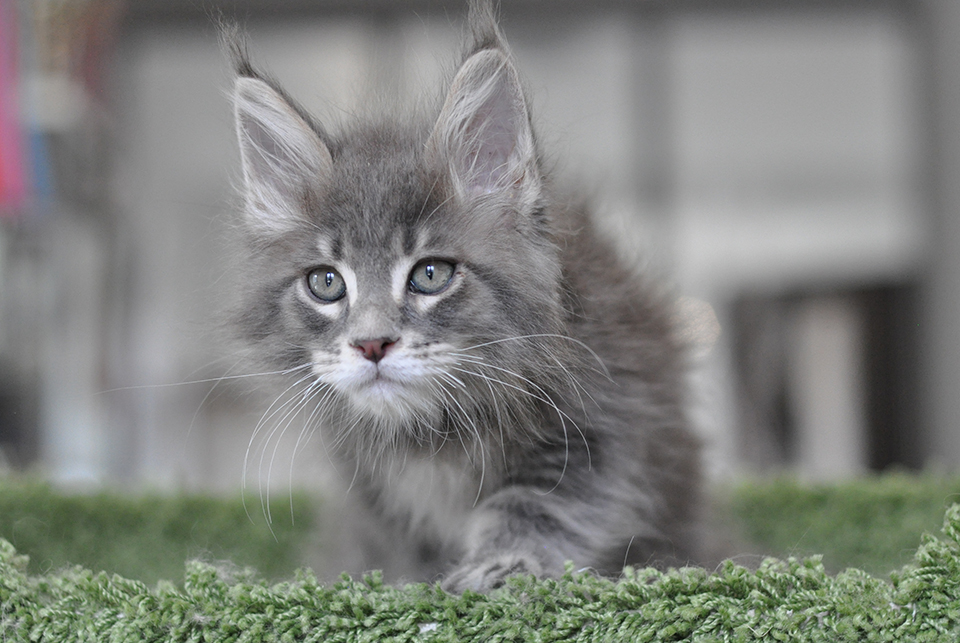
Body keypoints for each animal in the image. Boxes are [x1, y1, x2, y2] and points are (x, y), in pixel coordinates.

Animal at [229, 1, 700, 592]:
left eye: (431, 274)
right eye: (326, 283)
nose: (371, 344)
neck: (433, 433)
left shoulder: (608, 414)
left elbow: (541, 505)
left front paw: (499, 565)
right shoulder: (372, 497)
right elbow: (399, 550)